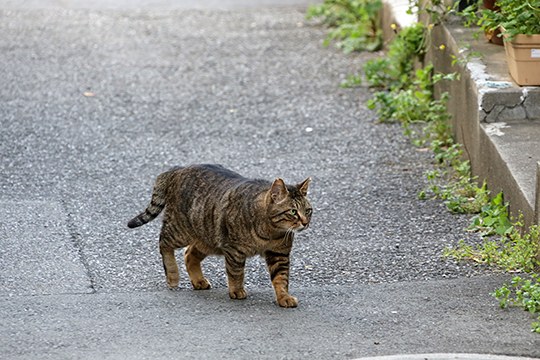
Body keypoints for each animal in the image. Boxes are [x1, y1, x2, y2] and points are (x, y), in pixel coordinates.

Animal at [127, 165, 312, 308]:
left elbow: (281, 278)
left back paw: (198, 281)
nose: (305, 222)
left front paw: (284, 297)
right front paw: (236, 290)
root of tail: (179, 169)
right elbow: (236, 273)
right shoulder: (234, 250)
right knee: (163, 242)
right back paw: (172, 275)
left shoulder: (279, 254)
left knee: (189, 254)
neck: (271, 231)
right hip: (180, 231)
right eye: (293, 212)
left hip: (207, 238)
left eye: (308, 210)